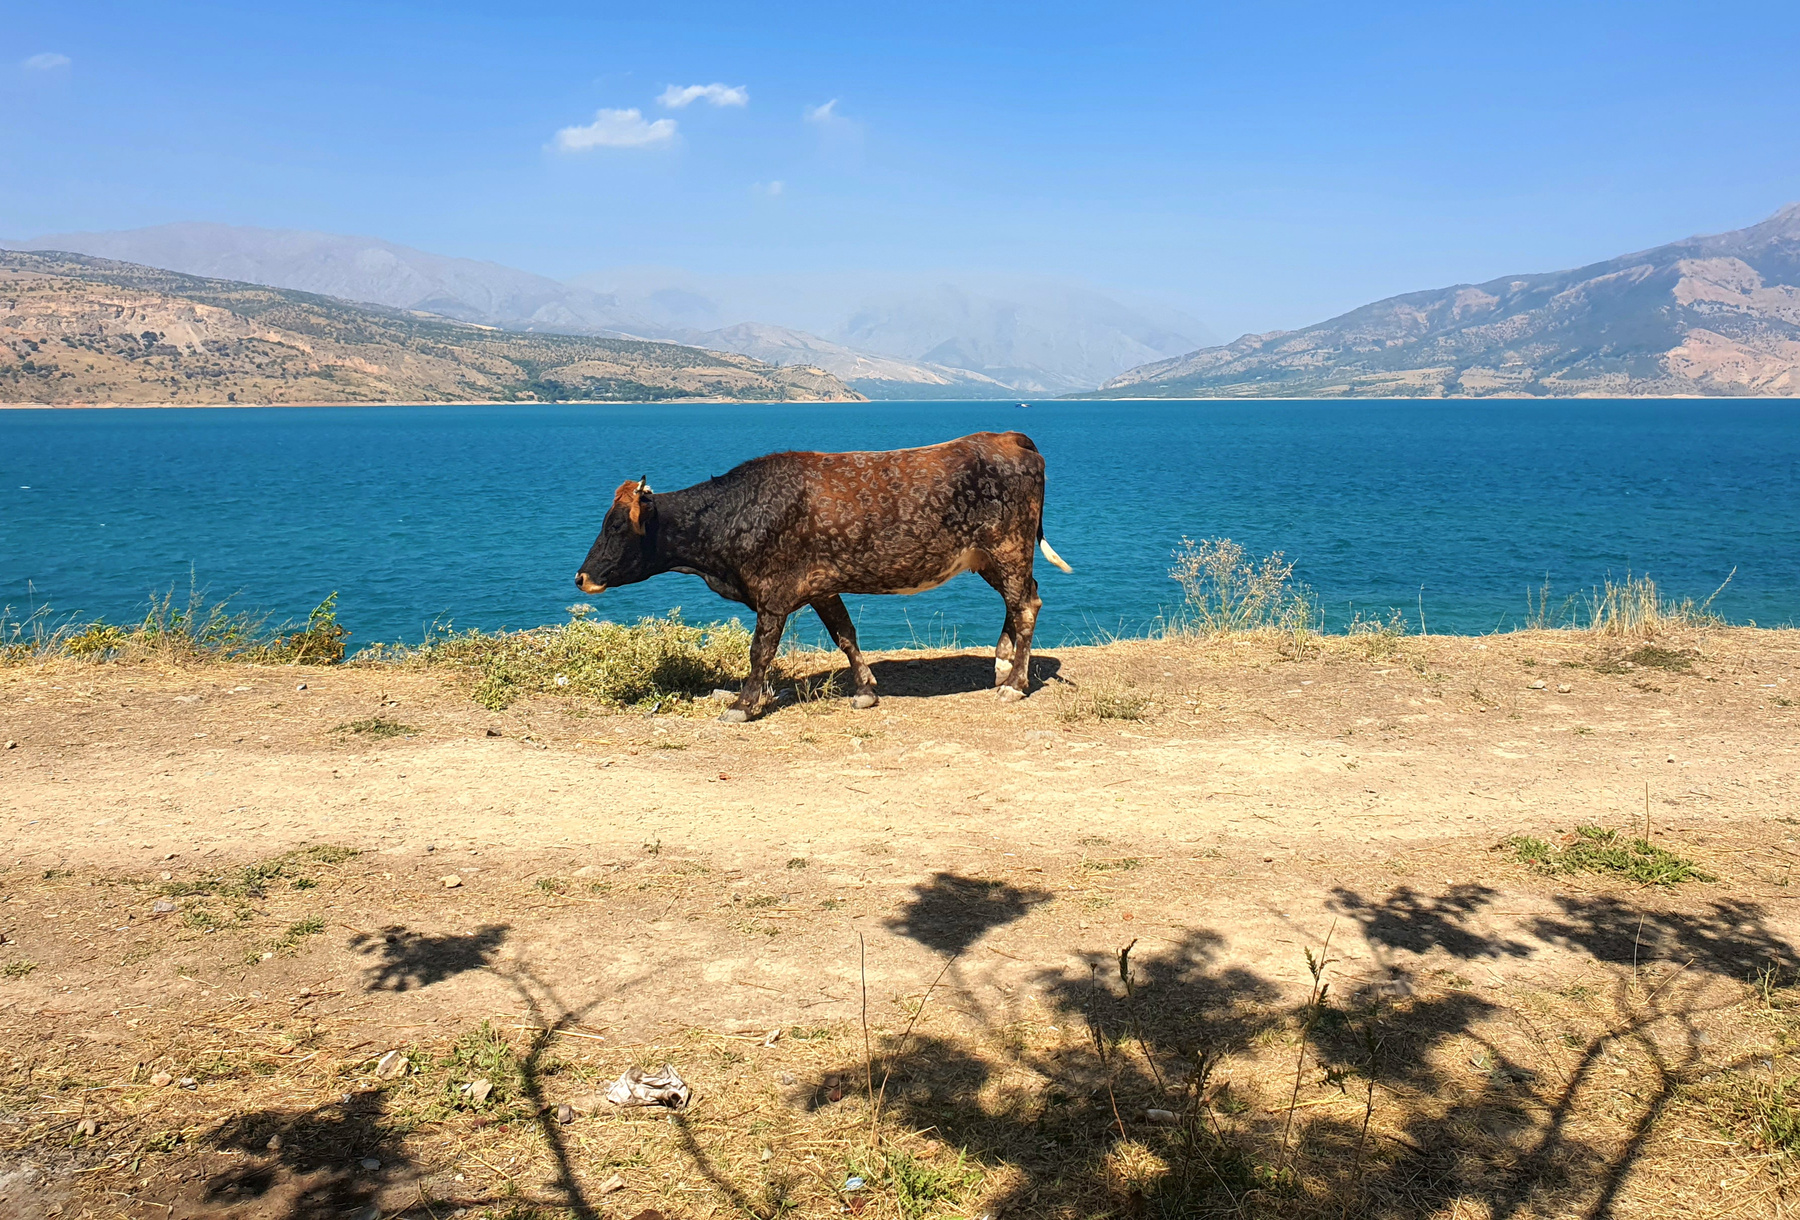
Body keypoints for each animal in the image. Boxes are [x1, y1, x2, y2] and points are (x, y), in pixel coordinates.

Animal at [574, 431, 1072, 722]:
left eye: (616, 526)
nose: (581, 577)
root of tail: (1007, 437)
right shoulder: (821, 586)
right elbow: (845, 635)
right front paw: (866, 690)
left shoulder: (773, 592)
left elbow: (760, 652)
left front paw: (743, 704)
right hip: (988, 557)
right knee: (1019, 599)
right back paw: (1002, 664)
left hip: (1009, 546)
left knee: (1025, 605)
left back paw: (1015, 685)